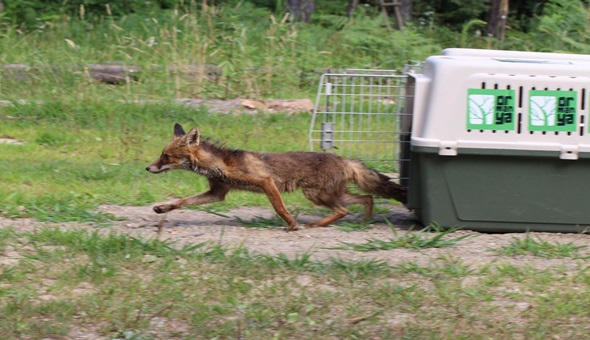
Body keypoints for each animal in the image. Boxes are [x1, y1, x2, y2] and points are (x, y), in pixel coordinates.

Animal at [147, 123, 408, 232]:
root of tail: (346, 159)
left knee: (345, 209)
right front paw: (162, 208)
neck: (221, 165)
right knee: (366, 198)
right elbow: (182, 201)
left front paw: (292, 225)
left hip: (316, 194)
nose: (148, 168)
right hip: (330, 194)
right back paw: (363, 221)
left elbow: (280, 208)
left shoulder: (266, 182)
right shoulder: (217, 193)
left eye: (165, 156)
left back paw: (316, 224)